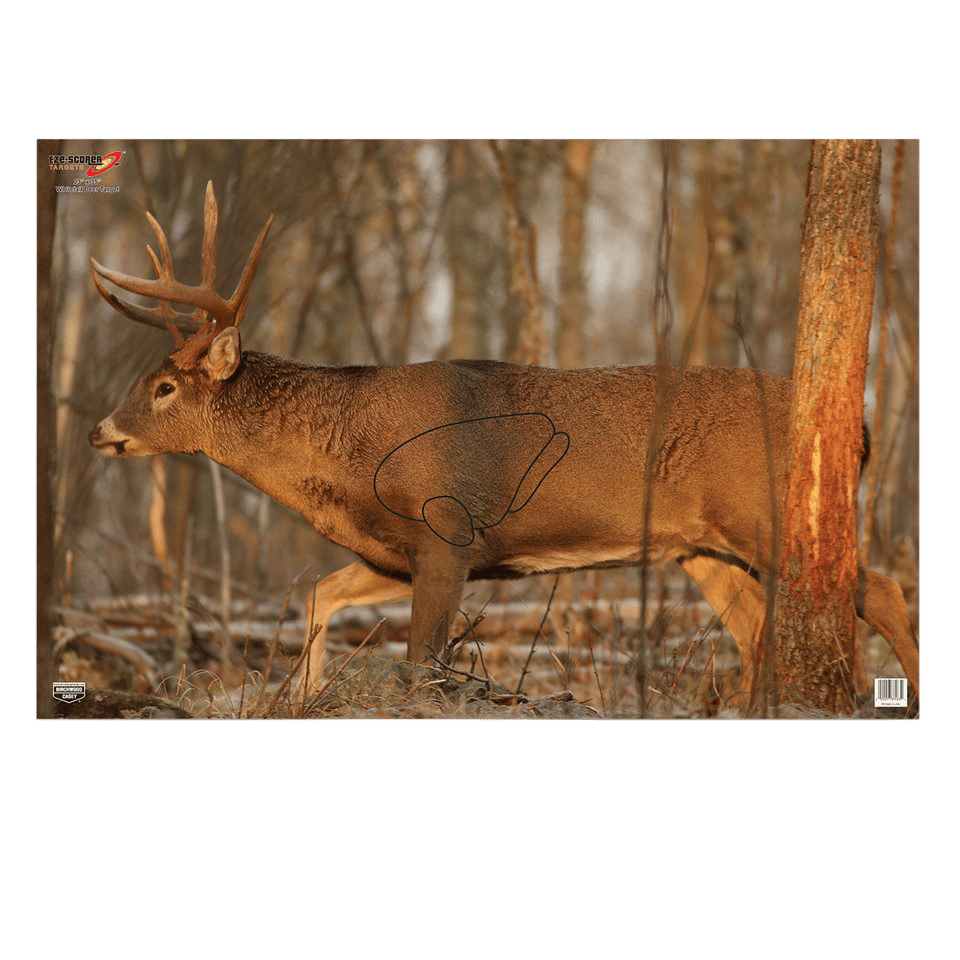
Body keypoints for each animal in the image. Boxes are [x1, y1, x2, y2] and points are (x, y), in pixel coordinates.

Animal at [88, 182, 920, 710]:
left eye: (164, 387)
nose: (100, 430)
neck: (348, 458)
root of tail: (860, 426)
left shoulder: (447, 532)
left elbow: (423, 660)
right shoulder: (397, 551)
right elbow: (322, 594)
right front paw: (305, 695)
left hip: (766, 515)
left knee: (879, 590)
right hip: (699, 546)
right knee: (755, 628)